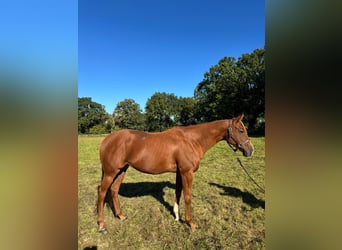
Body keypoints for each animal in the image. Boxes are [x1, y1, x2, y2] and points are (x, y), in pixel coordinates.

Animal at [97, 113, 254, 232]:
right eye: (241, 130)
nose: (250, 150)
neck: (191, 140)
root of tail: (106, 139)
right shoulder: (187, 173)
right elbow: (187, 197)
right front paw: (190, 223)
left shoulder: (180, 173)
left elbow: (178, 193)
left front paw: (177, 216)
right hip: (110, 172)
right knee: (102, 193)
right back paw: (101, 225)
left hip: (121, 170)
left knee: (114, 190)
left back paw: (121, 216)